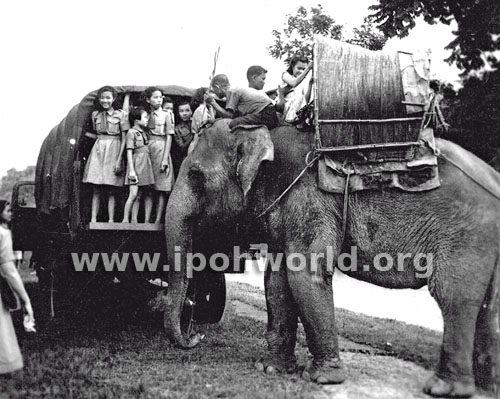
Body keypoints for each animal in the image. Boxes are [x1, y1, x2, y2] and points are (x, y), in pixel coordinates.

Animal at [163, 119, 500, 399]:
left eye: (195, 175)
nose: (195, 337)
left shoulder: (311, 200)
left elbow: (304, 276)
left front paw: (321, 379)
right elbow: (277, 281)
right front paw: (270, 369)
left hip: (467, 235)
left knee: (453, 297)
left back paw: (445, 389)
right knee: (488, 309)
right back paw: (486, 387)